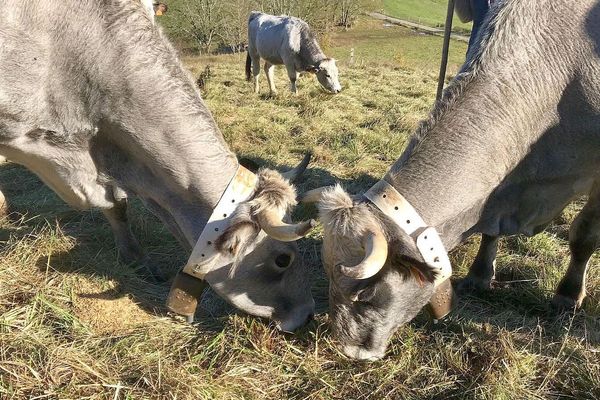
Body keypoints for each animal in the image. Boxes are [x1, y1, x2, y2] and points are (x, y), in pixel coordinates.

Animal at [304, 0, 600, 360]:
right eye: (329, 277)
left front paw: (568, 295)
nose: (349, 350)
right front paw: (479, 275)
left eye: (367, 292)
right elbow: (489, 231)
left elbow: (583, 235)